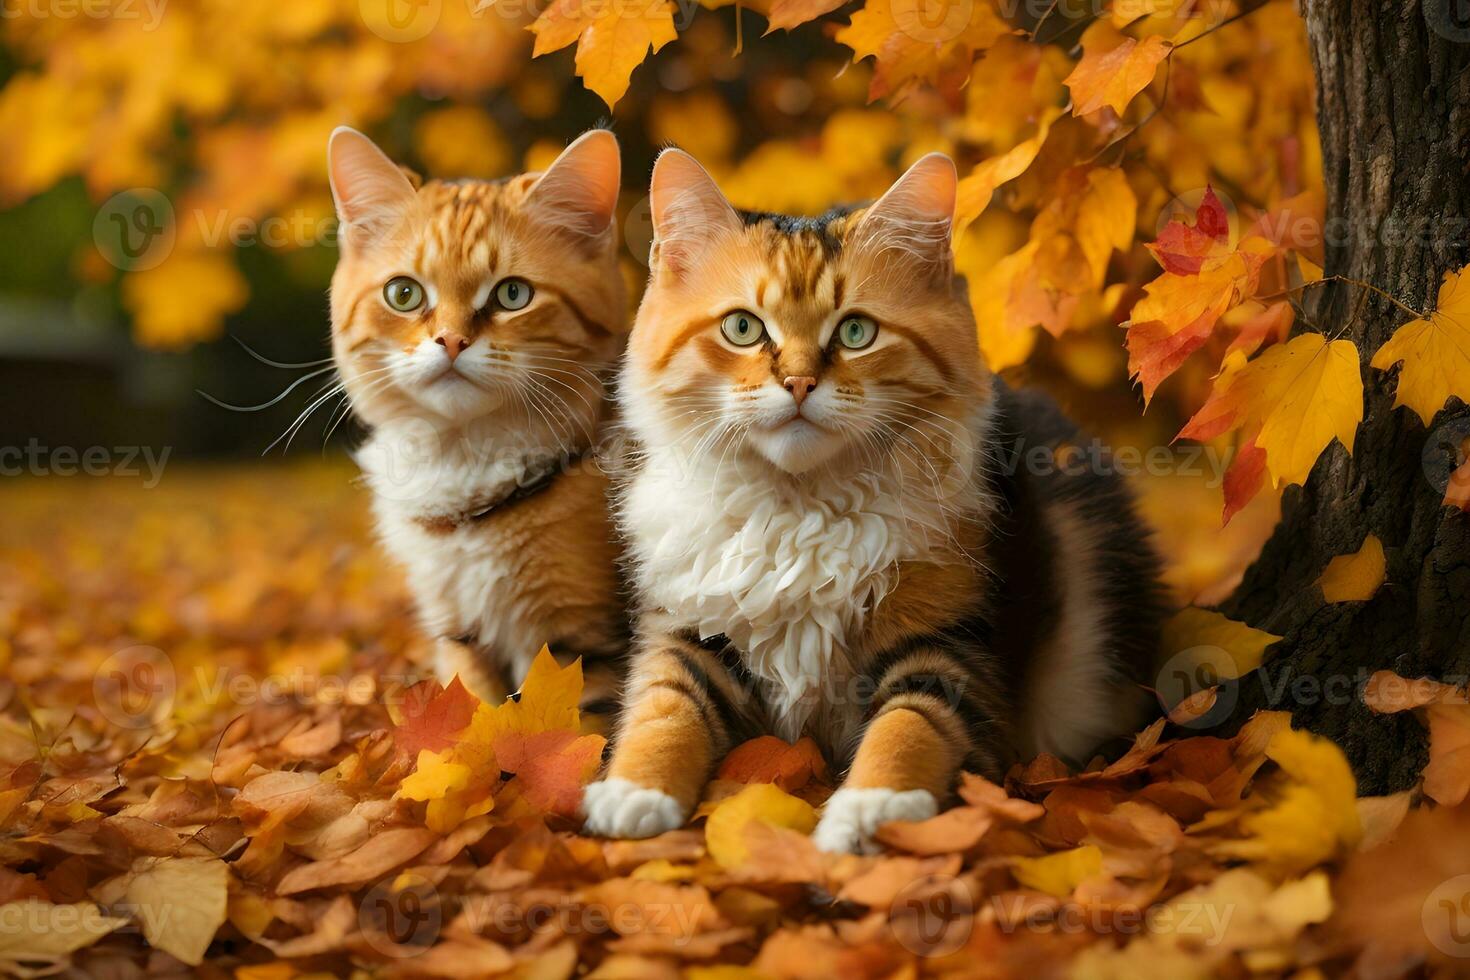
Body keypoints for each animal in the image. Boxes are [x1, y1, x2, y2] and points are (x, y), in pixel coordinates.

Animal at [330, 128, 629, 714]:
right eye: (404, 293)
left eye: (513, 294)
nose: (450, 340)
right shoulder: (459, 636)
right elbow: (475, 716)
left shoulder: (583, 643)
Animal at [579, 151, 1164, 852]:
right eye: (743, 328)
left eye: (856, 332)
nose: (799, 382)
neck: (798, 507)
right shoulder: (687, 631)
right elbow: (663, 713)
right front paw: (633, 795)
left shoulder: (948, 642)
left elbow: (908, 731)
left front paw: (871, 813)